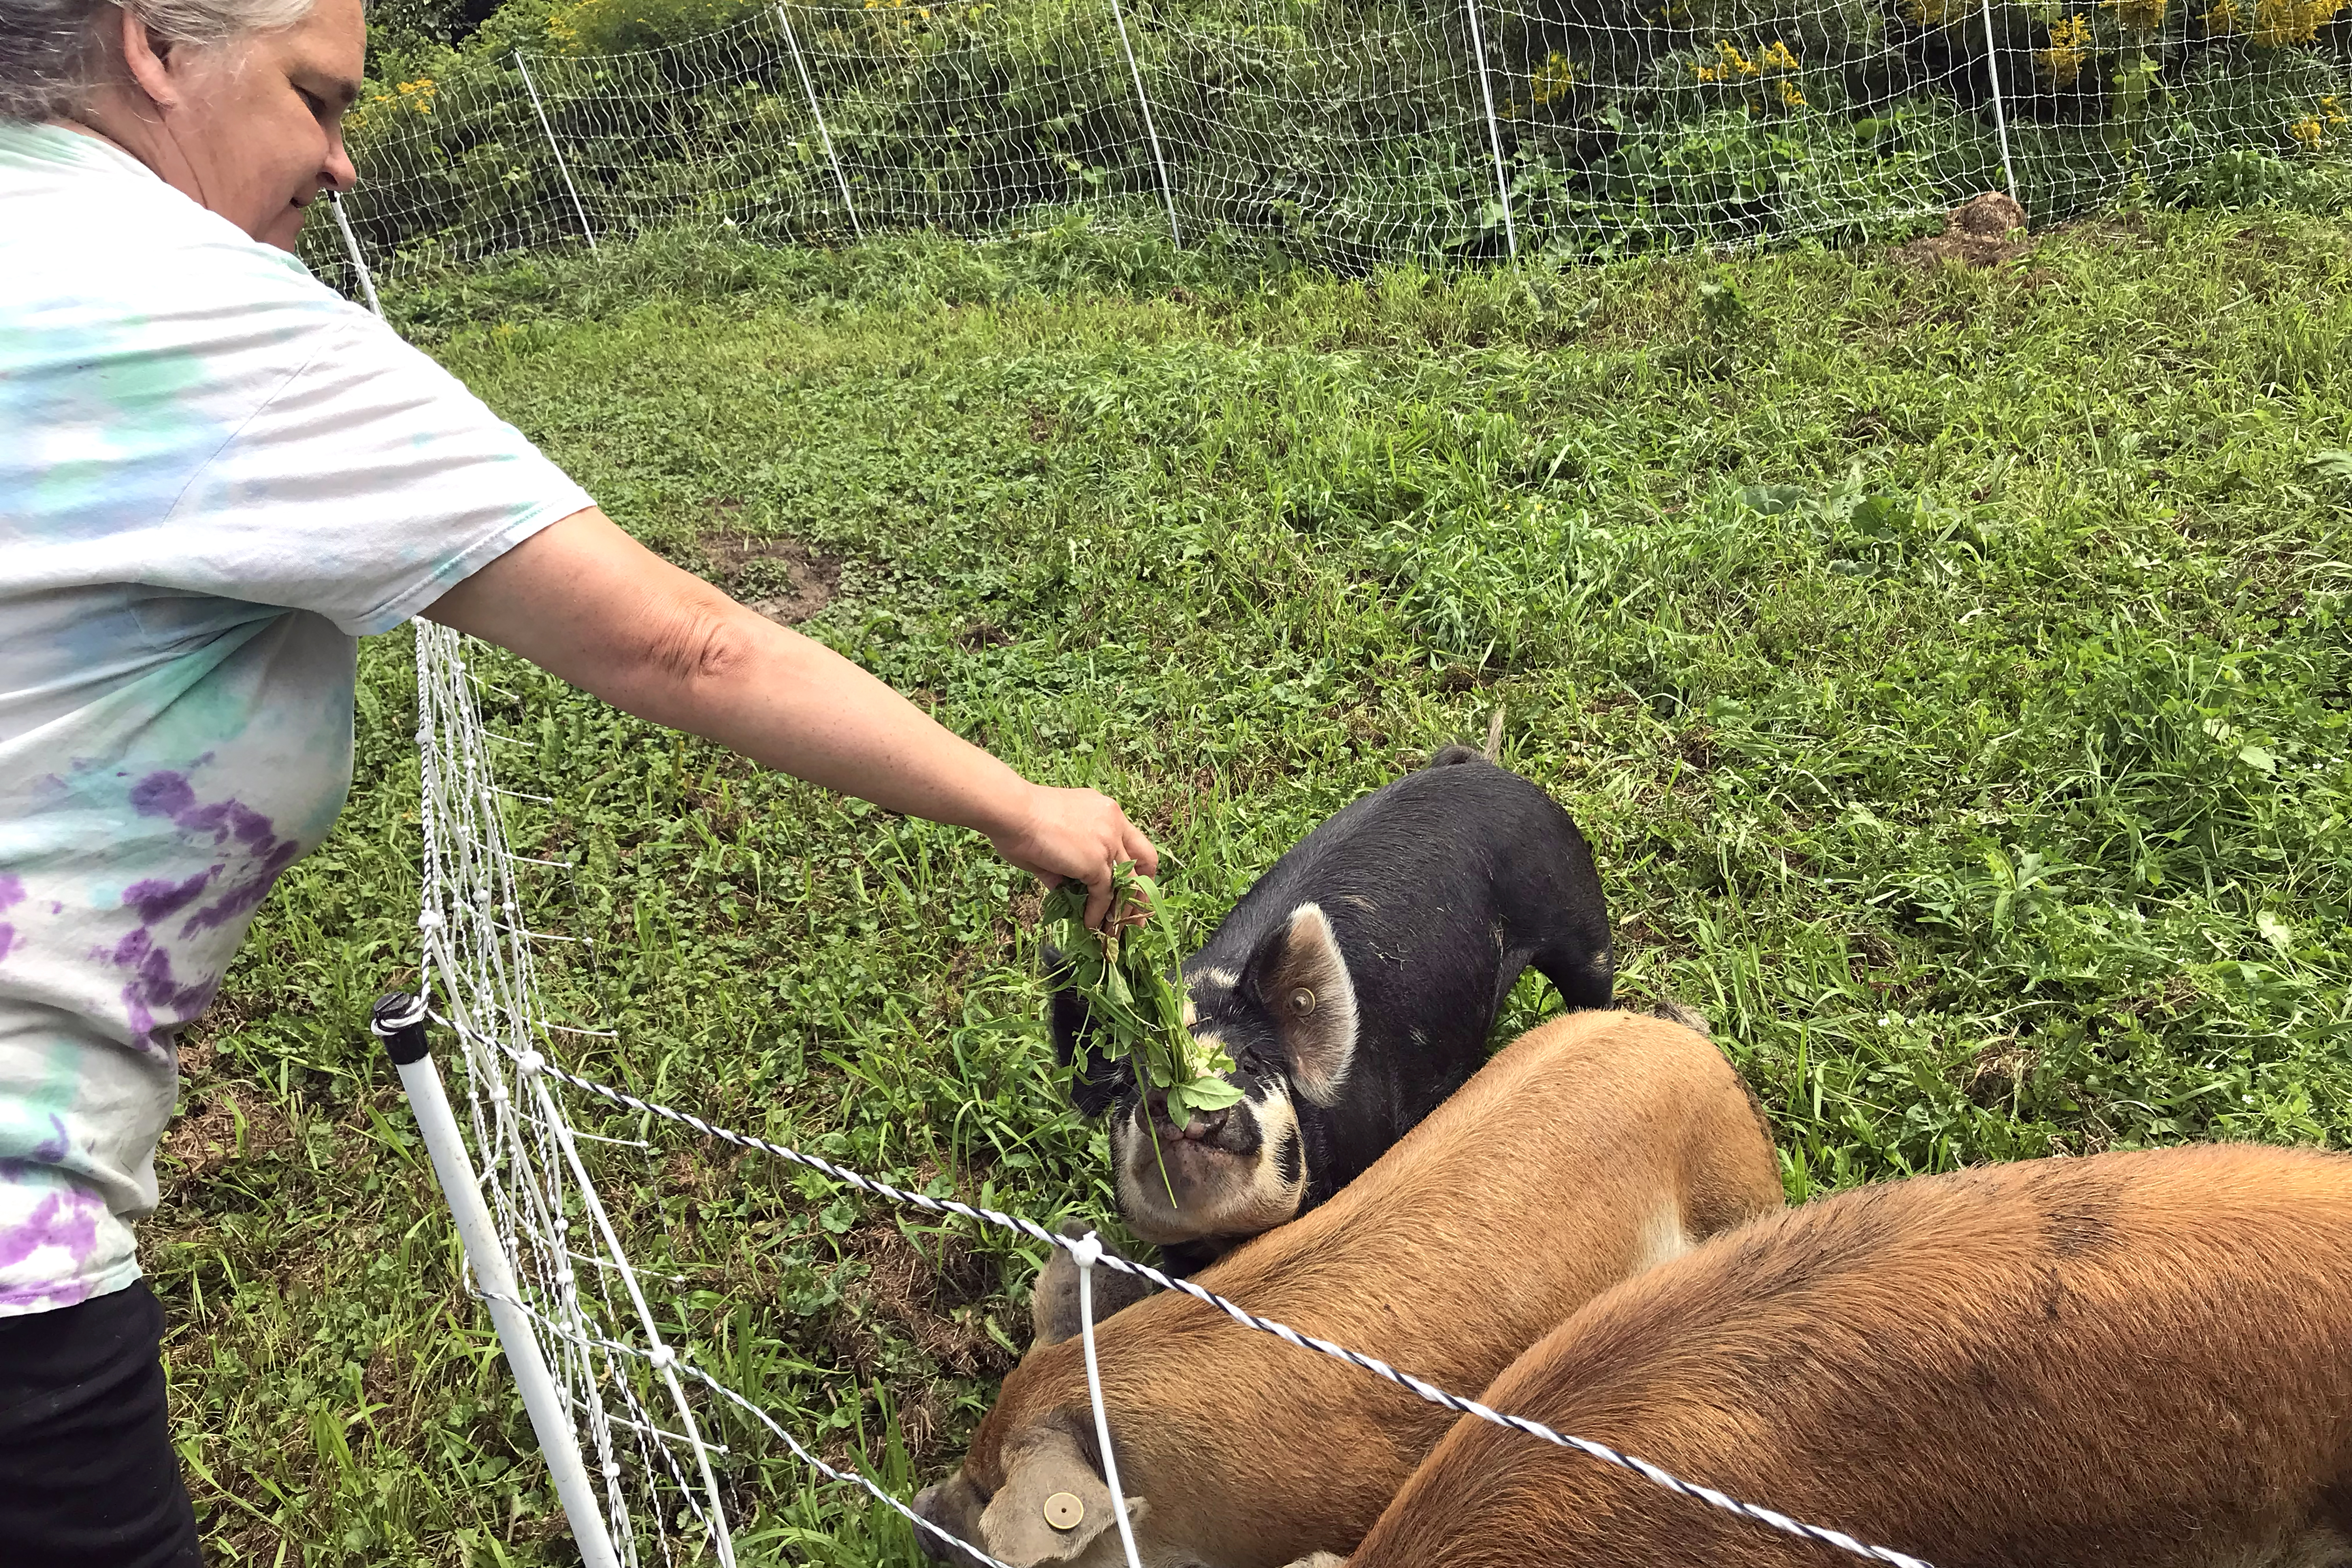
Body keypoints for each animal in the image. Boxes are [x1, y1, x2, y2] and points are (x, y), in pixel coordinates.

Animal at [1058, 747, 1609, 1278]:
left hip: (1575, 909)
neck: (1228, 1238)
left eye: (1252, 1062)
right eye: (1131, 1080)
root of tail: (1479, 766)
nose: (1177, 1100)